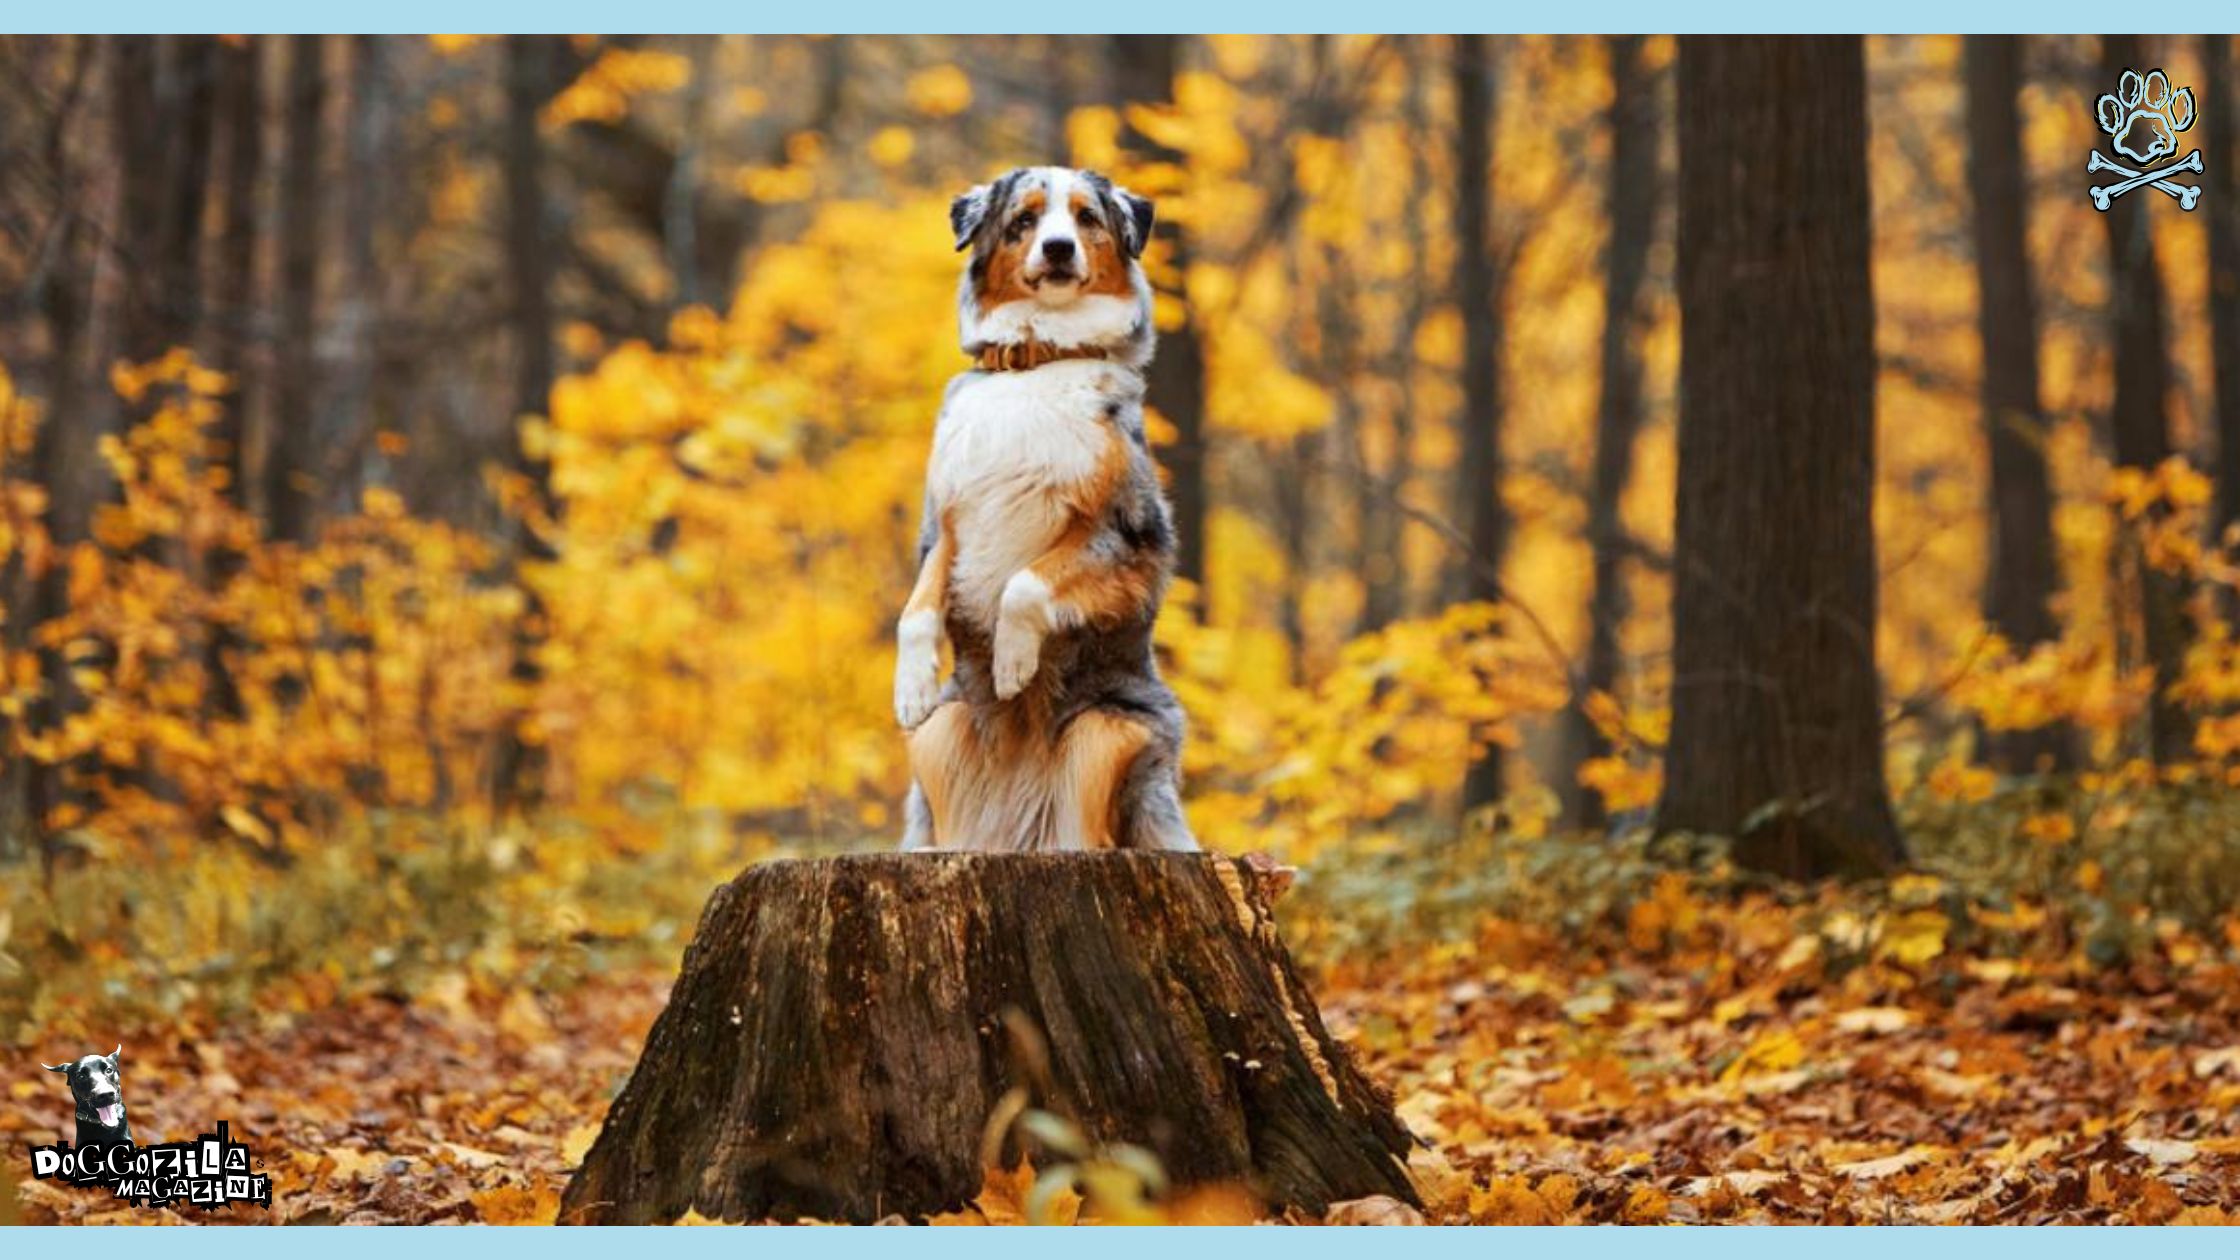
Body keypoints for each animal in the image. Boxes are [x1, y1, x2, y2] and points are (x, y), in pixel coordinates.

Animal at [891, 164, 1200, 851]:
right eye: (1024, 220)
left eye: (1086, 217)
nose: (1058, 248)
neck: (1036, 362)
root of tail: (1020, 836)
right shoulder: (947, 523)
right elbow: (915, 610)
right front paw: (911, 684)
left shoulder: (1123, 537)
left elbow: (1027, 584)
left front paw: (1012, 663)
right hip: (943, 736)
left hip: (1107, 732)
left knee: (1097, 835)